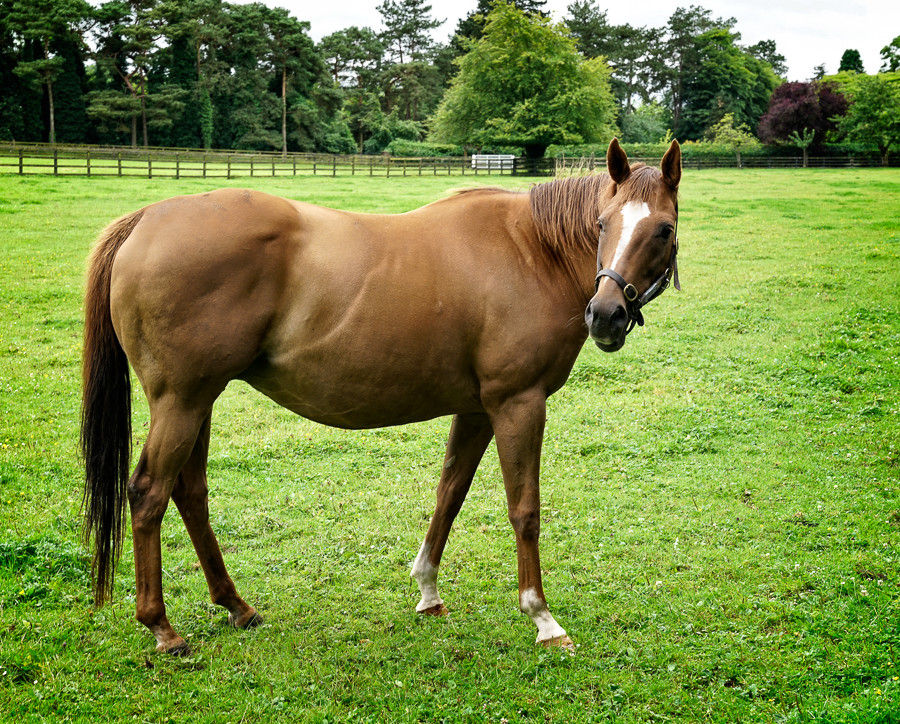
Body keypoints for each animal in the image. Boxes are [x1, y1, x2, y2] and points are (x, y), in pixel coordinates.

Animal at [81, 138, 682, 654]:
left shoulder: (476, 410)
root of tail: (144, 220)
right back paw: (162, 627)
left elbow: (449, 494)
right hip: (180, 402)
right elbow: (524, 508)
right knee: (149, 493)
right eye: (603, 224)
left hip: (197, 402)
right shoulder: (518, 404)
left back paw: (236, 606)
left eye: (663, 230)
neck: (530, 250)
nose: (606, 316)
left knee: (190, 493)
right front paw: (542, 617)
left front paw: (428, 591)